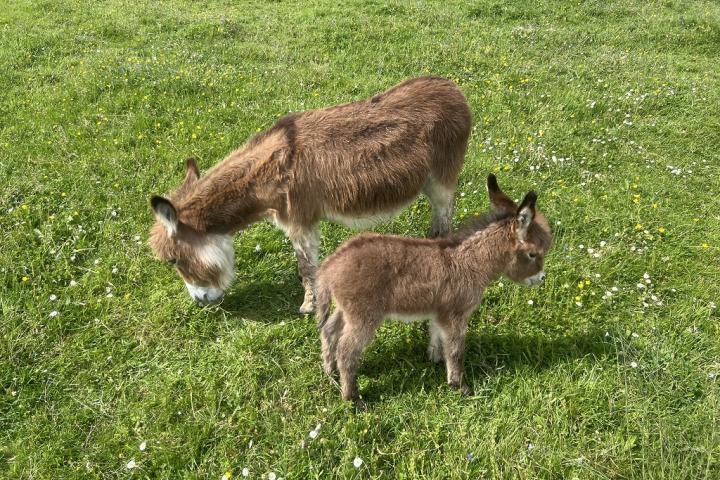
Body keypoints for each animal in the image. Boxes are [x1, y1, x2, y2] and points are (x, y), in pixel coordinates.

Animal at [316, 174, 552, 404]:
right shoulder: (456, 314)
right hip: (364, 316)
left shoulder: (440, 312)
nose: (542, 278)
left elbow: (438, 337)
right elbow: (456, 350)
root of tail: (331, 265)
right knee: (346, 351)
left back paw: (330, 372)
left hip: (346, 309)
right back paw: (352, 398)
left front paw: (436, 361)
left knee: (329, 330)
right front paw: (459, 386)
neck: (473, 262)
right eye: (533, 254)